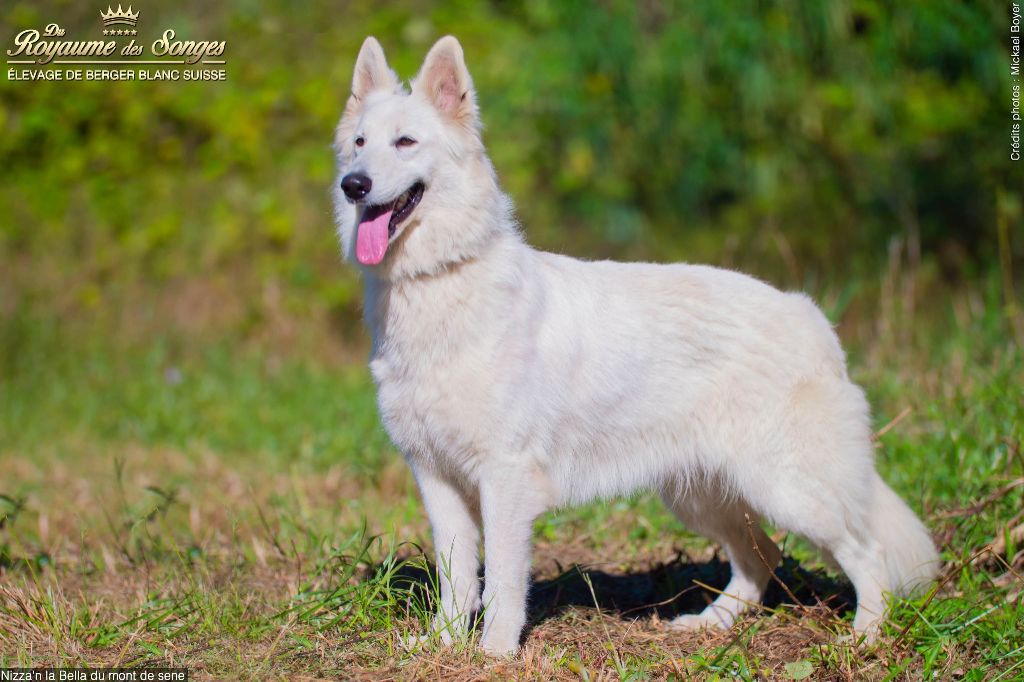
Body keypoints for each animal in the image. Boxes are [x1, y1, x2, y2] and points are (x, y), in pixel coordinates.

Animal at [331, 34, 937, 651]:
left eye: (406, 142)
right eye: (359, 144)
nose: (353, 184)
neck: (439, 281)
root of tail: (811, 317)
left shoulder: (505, 478)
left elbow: (501, 578)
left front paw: (495, 652)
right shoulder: (436, 478)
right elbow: (456, 576)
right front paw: (444, 644)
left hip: (790, 491)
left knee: (867, 553)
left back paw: (865, 638)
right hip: (701, 494)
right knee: (761, 555)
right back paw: (711, 623)